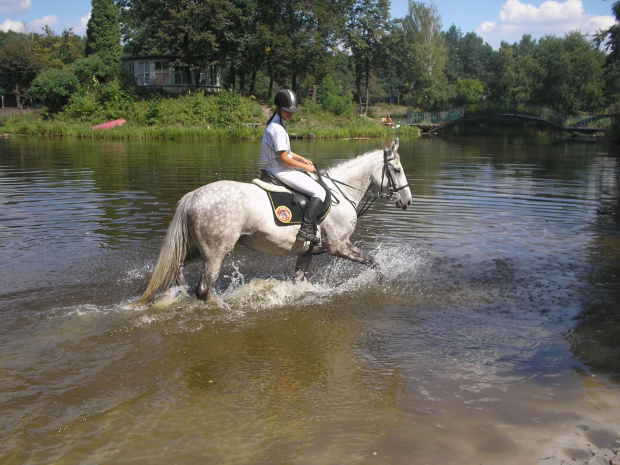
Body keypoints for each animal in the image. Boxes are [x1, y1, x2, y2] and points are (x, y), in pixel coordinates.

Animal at [138, 139, 414, 304]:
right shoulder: (340, 247)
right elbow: (374, 263)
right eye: (397, 170)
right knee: (203, 289)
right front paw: (379, 284)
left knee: (178, 267)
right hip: (216, 254)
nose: (407, 201)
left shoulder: (308, 252)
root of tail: (194, 195)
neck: (341, 192)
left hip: (200, 249)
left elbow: (298, 282)